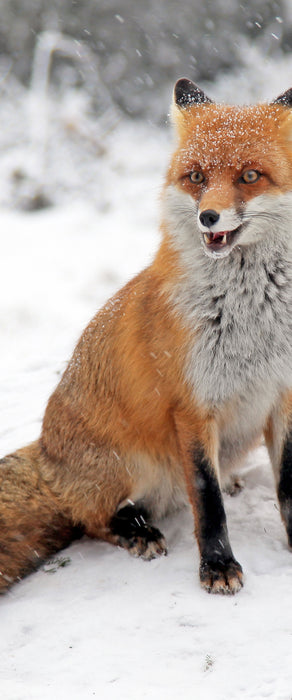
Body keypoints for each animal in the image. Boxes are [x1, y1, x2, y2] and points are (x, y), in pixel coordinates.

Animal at [0, 79, 292, 596]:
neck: (251, 321)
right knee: (91, 518)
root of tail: (46, 456)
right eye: (196, 177)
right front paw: (217, 566)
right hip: (131, 465)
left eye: (250, 176)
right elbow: (208, 502)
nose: (208, 217)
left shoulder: (282, 393)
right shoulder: (192, 407)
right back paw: (135, 530)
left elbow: (288, 489)